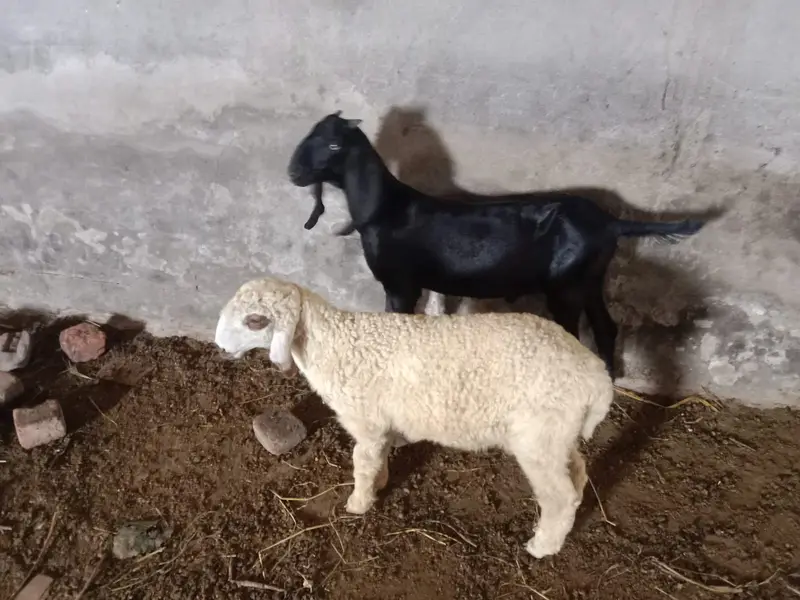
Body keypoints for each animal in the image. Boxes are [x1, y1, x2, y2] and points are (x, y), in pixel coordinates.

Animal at [214, 275, 614, 558]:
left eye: (255, 321)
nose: (220, 347)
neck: (336, 345)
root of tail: (599, 379)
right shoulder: (381, 426)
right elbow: (378, 459)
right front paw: (379, 485)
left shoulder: (367, 422)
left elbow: (362, 462)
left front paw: (358, 504)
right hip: (558, 432)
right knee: (577, 473)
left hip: (538, 438)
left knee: (558, 495)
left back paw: (542, 547)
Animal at [287, 112, 706, 375]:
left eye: (335, 146)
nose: (294, 172)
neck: (387, 208)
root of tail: (610, 221)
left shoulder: (400, 285)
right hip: (589, 280)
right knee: (607, 329)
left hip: (566, 287)